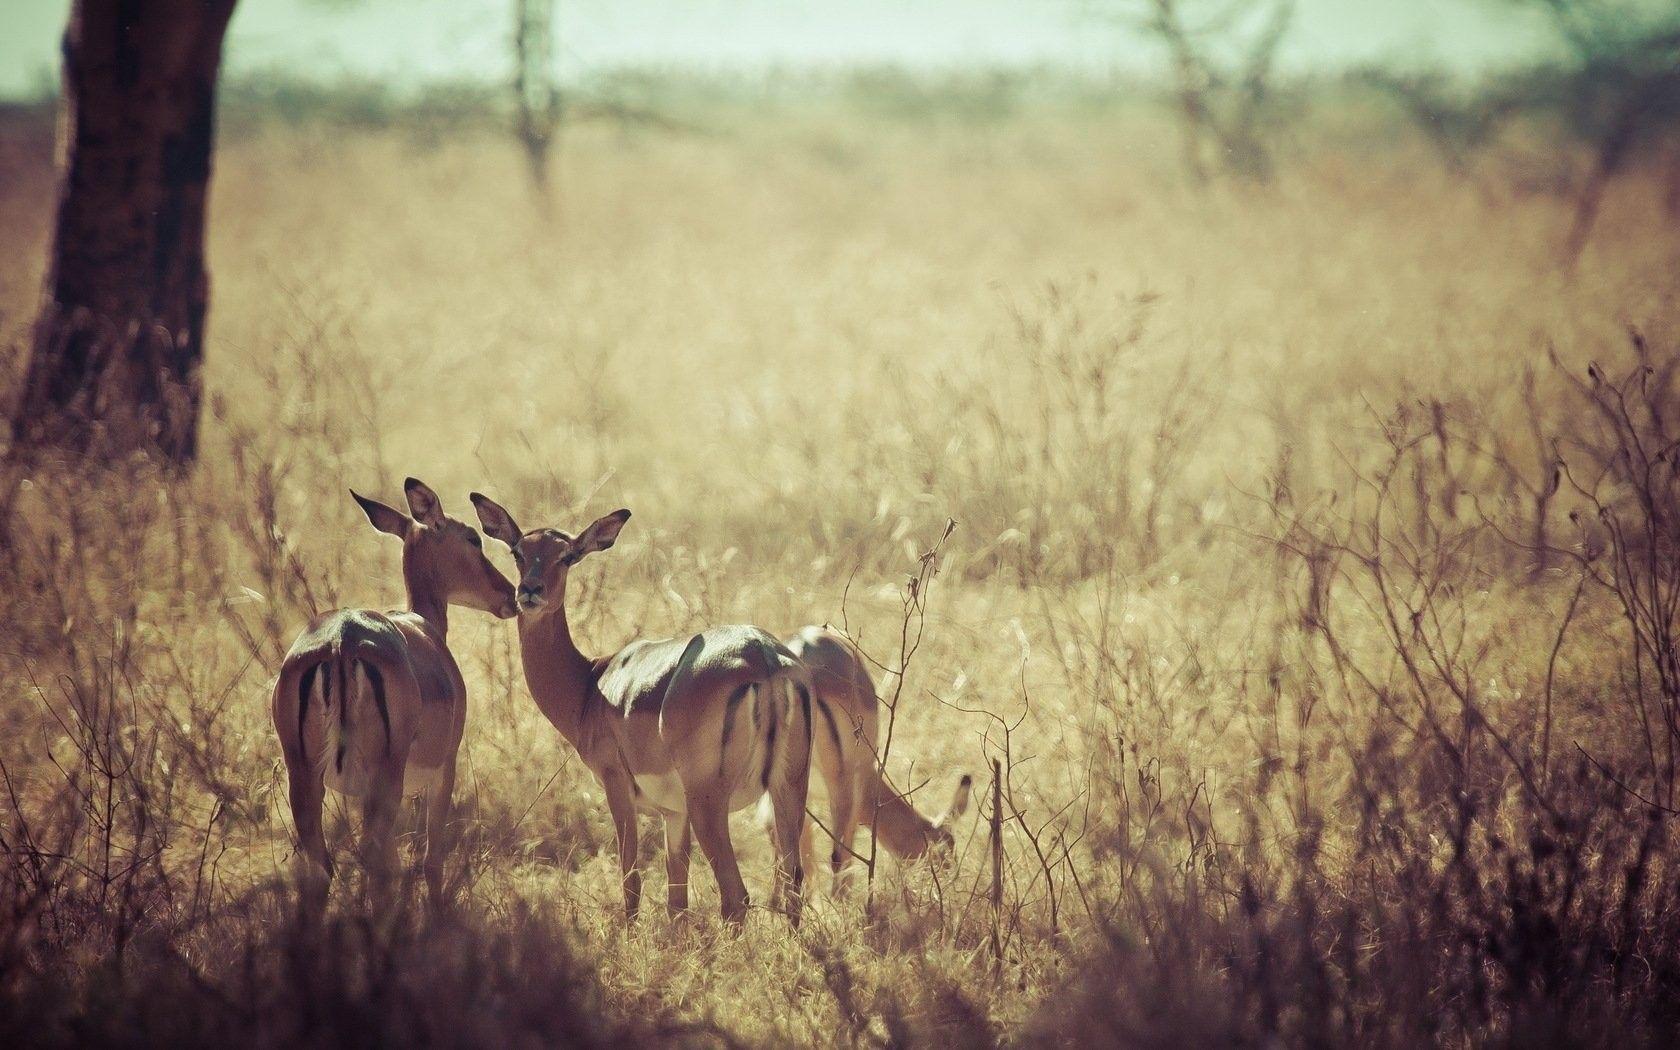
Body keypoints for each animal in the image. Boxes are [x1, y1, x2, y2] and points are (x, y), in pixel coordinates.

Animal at [270, 479, 517, 909]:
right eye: (473, 538)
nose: (512, 594)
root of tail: (342, 639)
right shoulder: (445, 767)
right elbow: (432, 858)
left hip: (302, 775)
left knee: (321, 867)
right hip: (385, 777)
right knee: (377, 860)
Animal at [470, 495, 813, 926]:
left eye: (566, 556)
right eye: (518, 551)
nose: (529, 591)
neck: (590, 685)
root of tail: (764, 659)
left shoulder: (617, 786)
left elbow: (631, 882)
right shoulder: (674, 813)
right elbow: (676, 901)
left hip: (709, 802)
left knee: (736, 896)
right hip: (789, 788)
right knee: (793, 885)